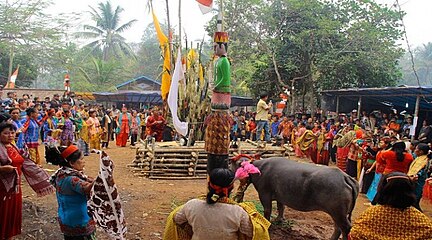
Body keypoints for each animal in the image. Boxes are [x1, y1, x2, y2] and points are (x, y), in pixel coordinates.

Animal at [231, 158, 360, 240]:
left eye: (231, 164)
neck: (257, 169)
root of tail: (345, 177)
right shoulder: (280, 197)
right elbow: (281, 207)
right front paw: (279, 220)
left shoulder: (264, 195)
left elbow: (267, 211)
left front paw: (268, 223)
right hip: (337, 214)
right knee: (338, 228)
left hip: (338, 213)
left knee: (346, 229)